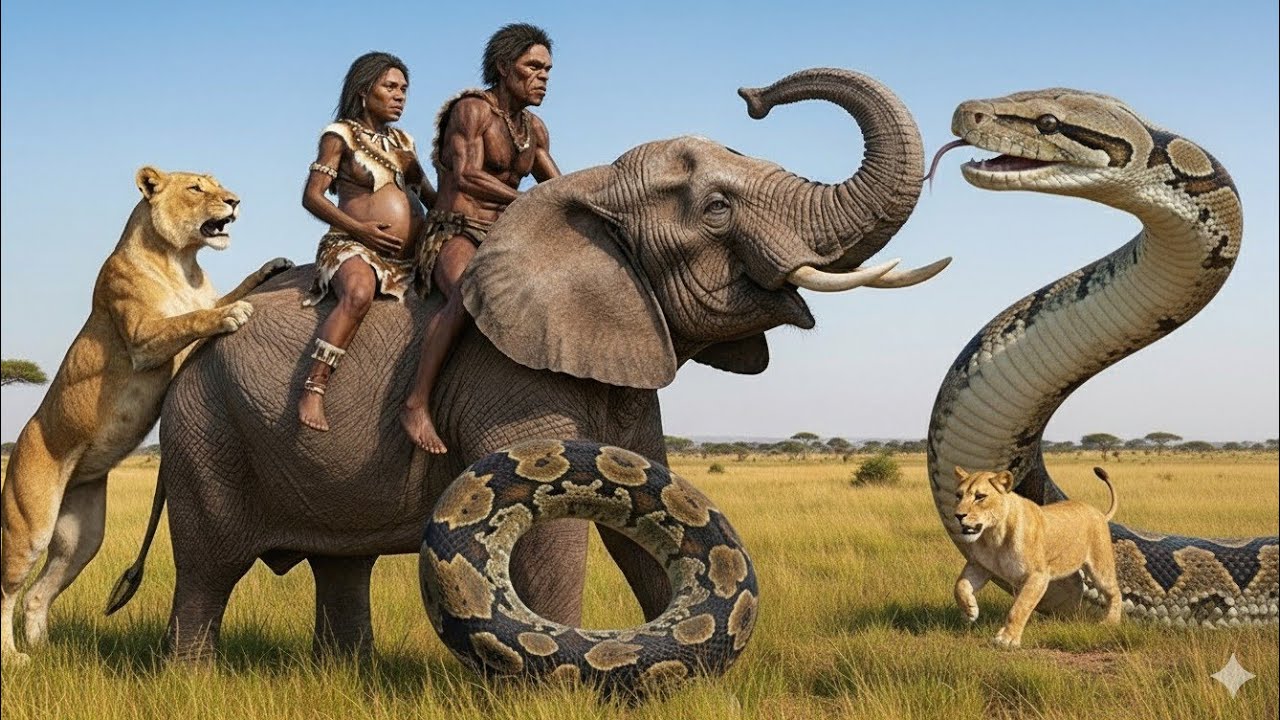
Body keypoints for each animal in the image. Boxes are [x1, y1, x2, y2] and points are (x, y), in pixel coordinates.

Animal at [0, 166, 292, 664]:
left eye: (216, 182)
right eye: (196, 188)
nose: (234, 200)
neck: (182, 262)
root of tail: (18, 445)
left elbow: (217, 297)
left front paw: (269, 268)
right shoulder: (142, 338)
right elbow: (190, 319)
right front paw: (233, 315)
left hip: (83, 537)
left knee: (38, 594)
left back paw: (46, 651)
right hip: (30, 524)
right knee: (7, 592)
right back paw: (14, 658)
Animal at [111, 68, 948, 662]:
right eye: (716, 210)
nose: (753, 96)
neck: (591, 198)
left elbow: (643, 524)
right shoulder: (505, 373)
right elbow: (556, 539)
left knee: (341, 567)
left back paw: (347, 673)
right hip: (204, 432)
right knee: (208, 571)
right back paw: (193, 678)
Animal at [951, 465, 1121, 649]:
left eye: (980, 497)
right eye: (958, 495)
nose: (958, 515)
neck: (993, 536)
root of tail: (1099, 513)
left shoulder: (1037, 575)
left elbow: (1020, 607)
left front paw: (1007, 639)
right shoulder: (979, 566)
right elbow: (960, 586)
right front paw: (970, 610)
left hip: (1100, 567)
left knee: (1114, 592)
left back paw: (1110, 622)